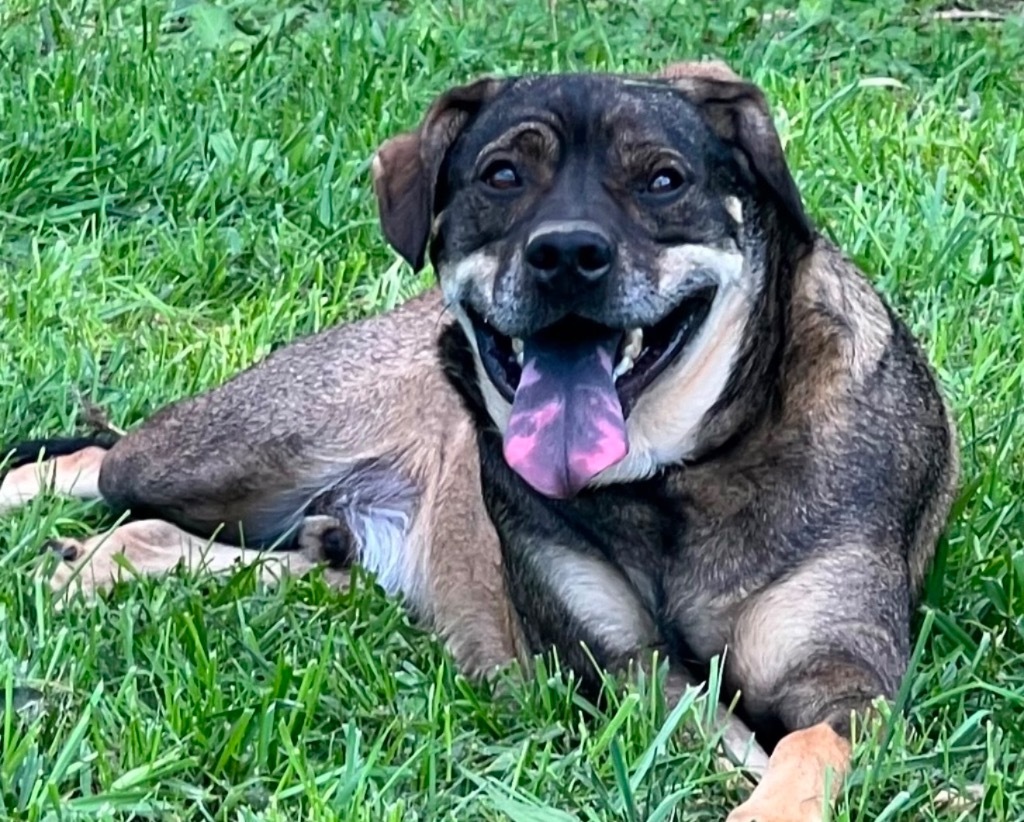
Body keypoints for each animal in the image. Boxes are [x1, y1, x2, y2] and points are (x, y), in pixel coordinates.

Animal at [2, 59, 958, 822]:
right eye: (502, 175)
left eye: (662, 179)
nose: (567, 254)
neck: (673, 480)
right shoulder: (626, 670)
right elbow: (717, 737)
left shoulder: (842, 676)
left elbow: (805, 749)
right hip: (234, 444)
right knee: (102, 466)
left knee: (198, 540)